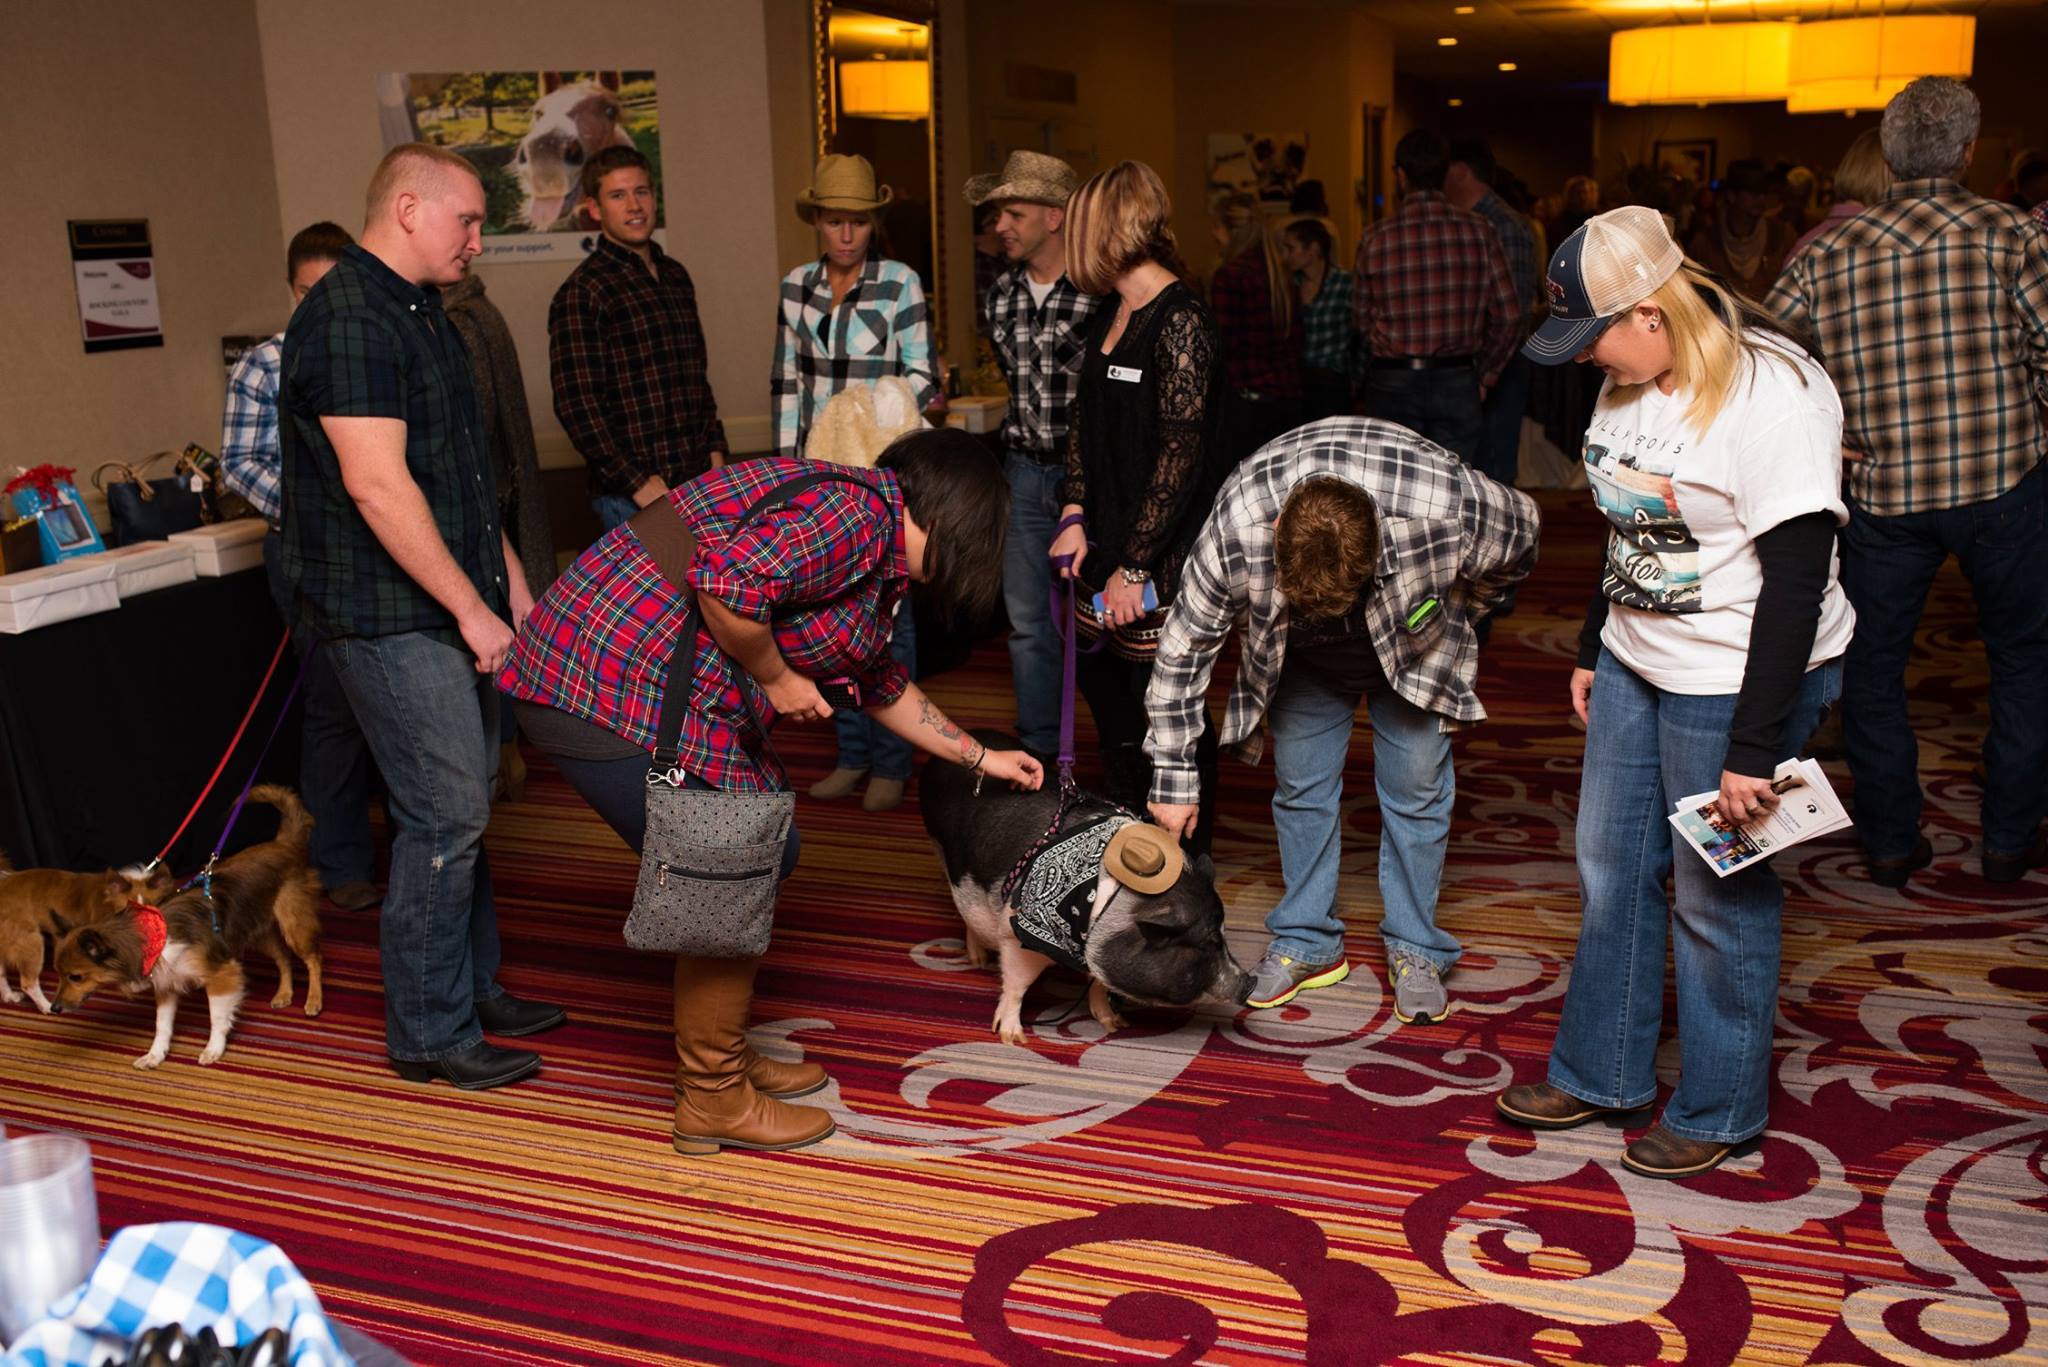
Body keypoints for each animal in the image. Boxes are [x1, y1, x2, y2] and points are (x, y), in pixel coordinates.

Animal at [0, 848, 171, 1012]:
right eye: (128, 910)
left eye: (154, 911)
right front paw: (137, 984)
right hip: (32, 943)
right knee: (29, 984)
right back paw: (46, 1006)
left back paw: (9, 996)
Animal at [48, 786, 323, 1073]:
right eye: (58, 973)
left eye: (76, 977)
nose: (53, 1009)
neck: (155, 937)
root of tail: (283, 844)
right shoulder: (167, 985)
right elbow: (162, 1026)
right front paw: (155, 1055)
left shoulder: (223, 974)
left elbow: (217, 1017)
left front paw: (213, 1049)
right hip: (257, 932)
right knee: (283, 957)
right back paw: (284, 993)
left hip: (293, 924)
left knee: (313, 959)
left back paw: (314, 1000)